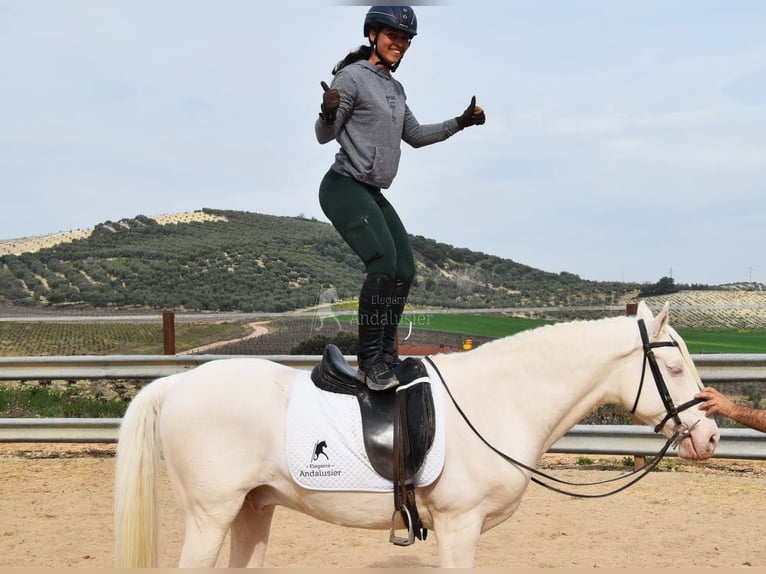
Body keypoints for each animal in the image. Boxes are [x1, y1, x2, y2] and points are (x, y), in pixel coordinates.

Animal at [112, 304, 720, 568]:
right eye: (673, 368)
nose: (711, 435)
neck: (500, 399)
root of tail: (179, 383)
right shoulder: (459, 526)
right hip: (210, 516)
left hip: (253, 511)